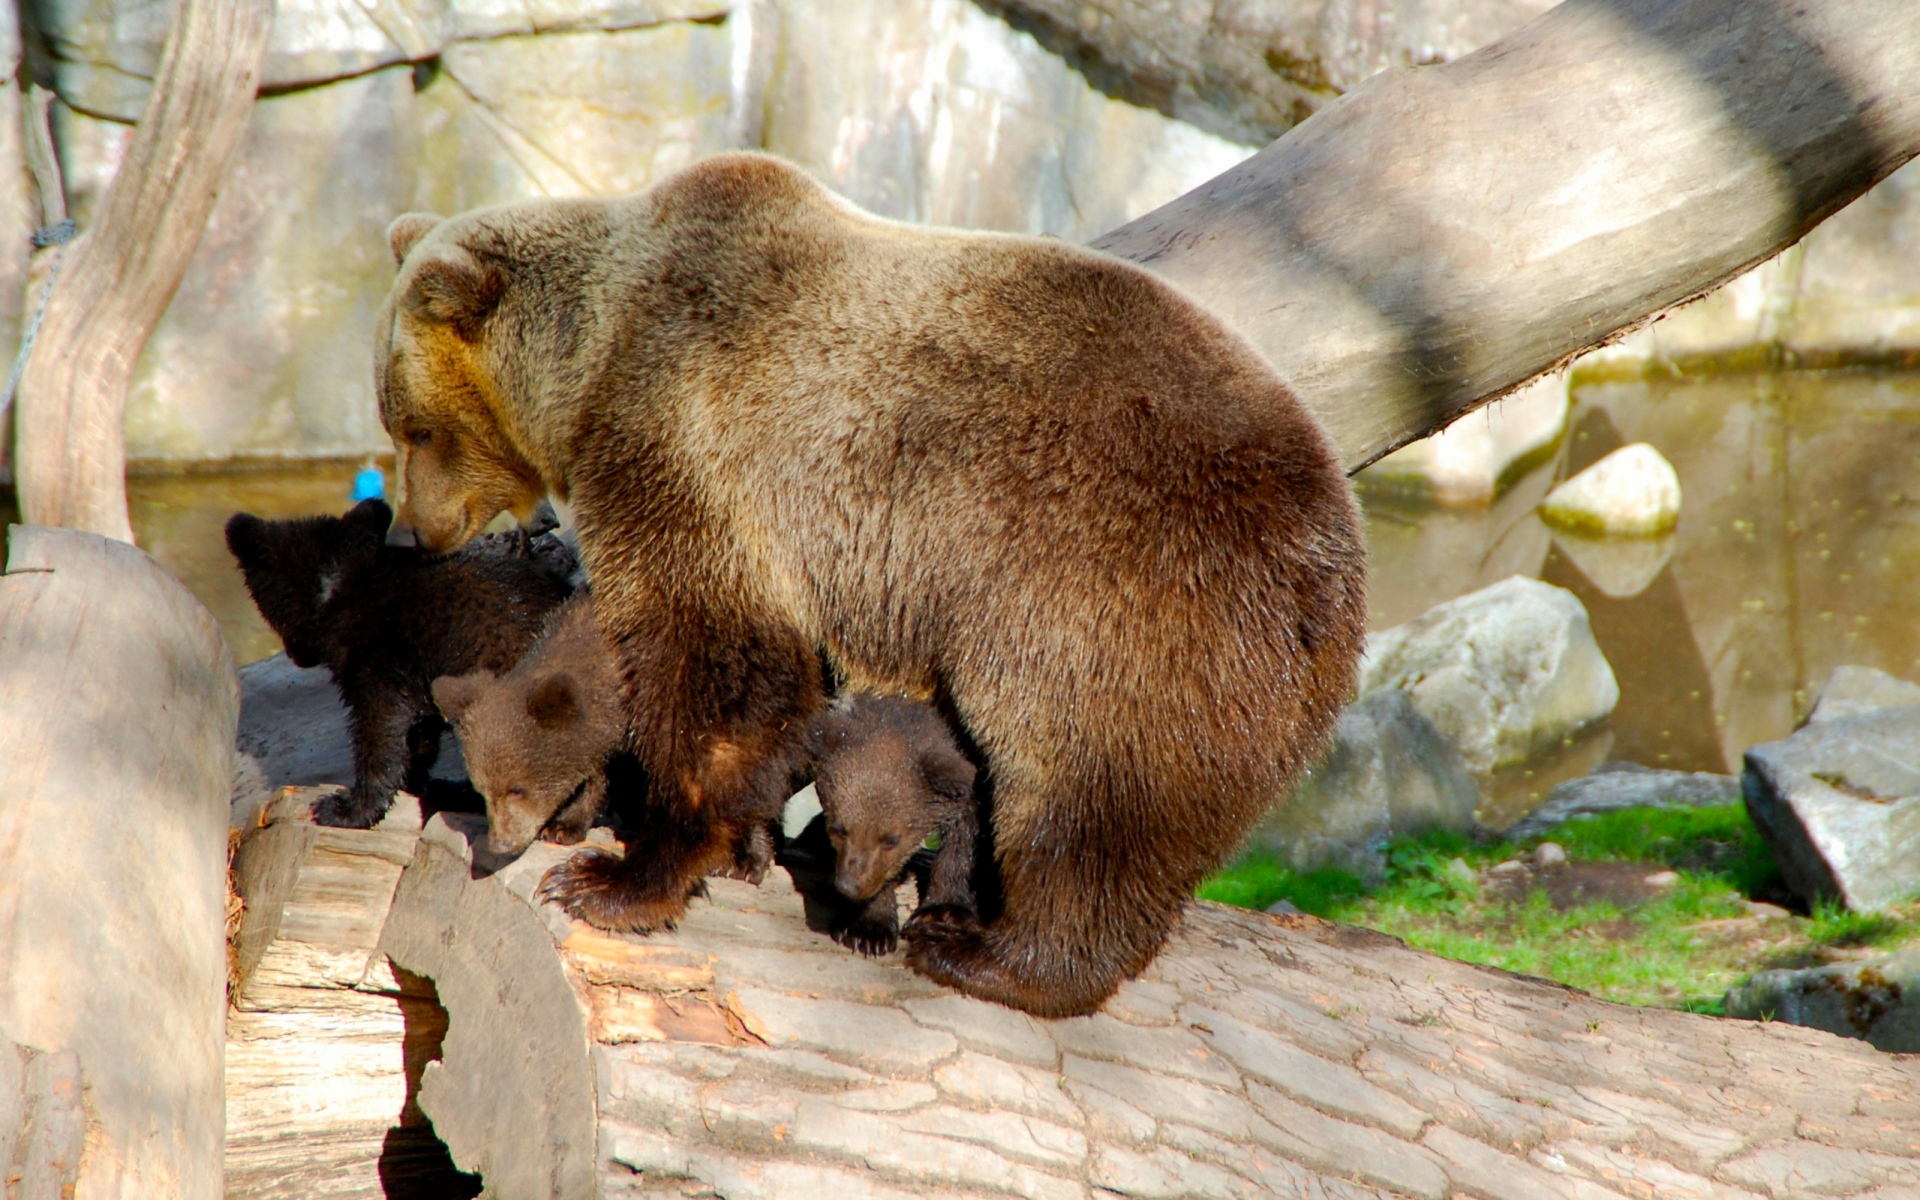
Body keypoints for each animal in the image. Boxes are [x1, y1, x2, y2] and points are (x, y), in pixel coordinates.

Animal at [374, 149, 1367, 1013]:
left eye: (413, 425)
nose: (406, 531)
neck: (596, 356)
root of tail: (1339, 568)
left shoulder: (691, 434)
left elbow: (715, 656)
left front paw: (615, 877)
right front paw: (741, 846)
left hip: (1119, 594)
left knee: (1088, 797)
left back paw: (988, 953)